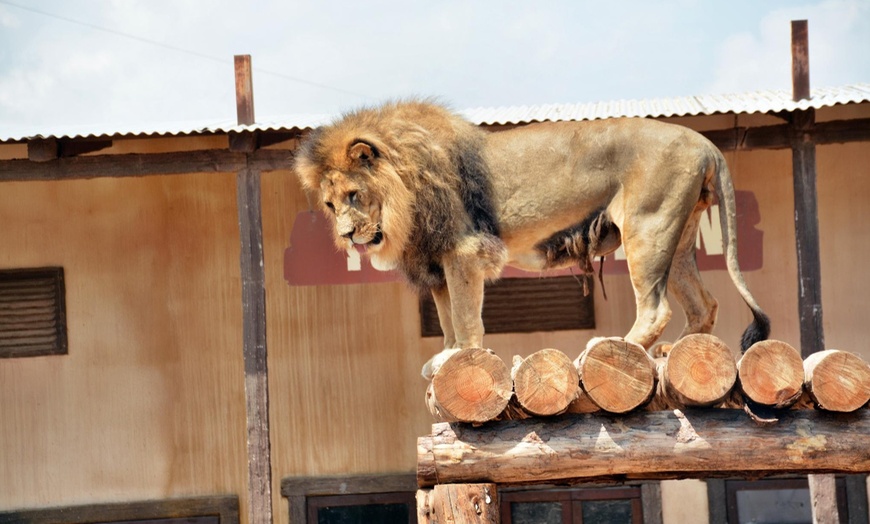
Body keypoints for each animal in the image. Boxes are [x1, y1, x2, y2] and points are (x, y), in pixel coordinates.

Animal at [296, 99, 772, 376]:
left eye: (354, 195)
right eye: (330, 205)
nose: (345, 235)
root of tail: (705, 142)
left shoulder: (463, 250)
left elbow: (465, 316)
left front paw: (461, 356)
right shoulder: (436, 259)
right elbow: (447, 316)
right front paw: (445, 355)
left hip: (647, 227)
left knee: (656, 308)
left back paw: (609, 347)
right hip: (678, 236)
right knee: (704, 304)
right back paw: (674, 352)